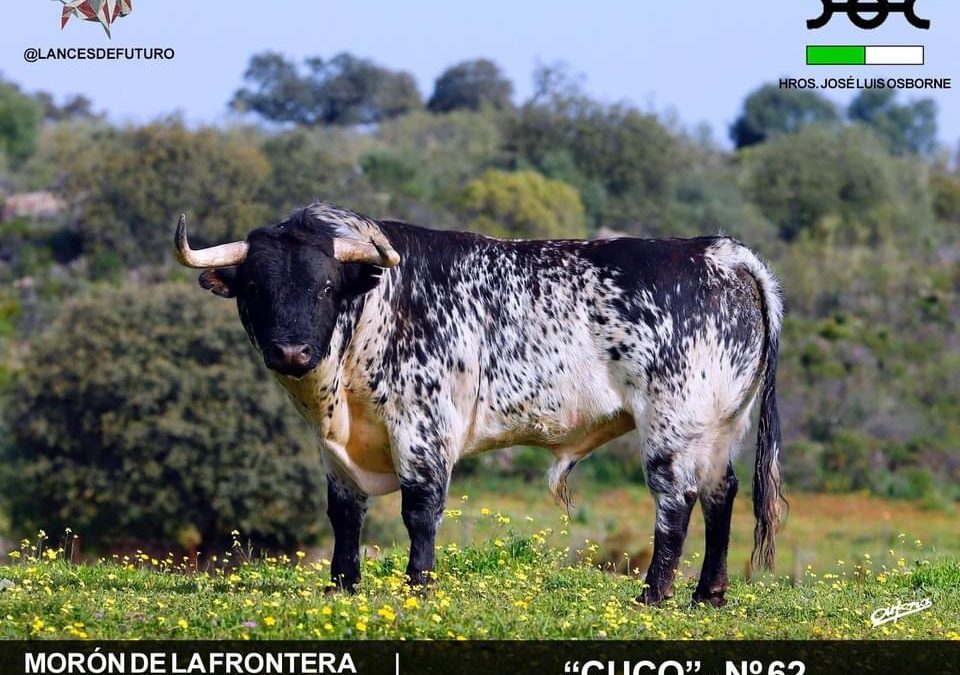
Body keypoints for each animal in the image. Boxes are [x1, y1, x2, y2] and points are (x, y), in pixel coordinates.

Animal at [176, 202, 784, 608]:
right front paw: (342, 586)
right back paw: (708, 594)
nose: (292, 351)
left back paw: (653, 595)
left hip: (671, 425)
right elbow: (345, 514)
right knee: (721, 494)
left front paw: (419, 585)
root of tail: (716, 250)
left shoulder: (423, 428)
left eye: (325, 286)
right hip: (721, 425)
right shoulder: (334, 451)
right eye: (256, 288)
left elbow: (420, 512)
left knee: (675, 502)